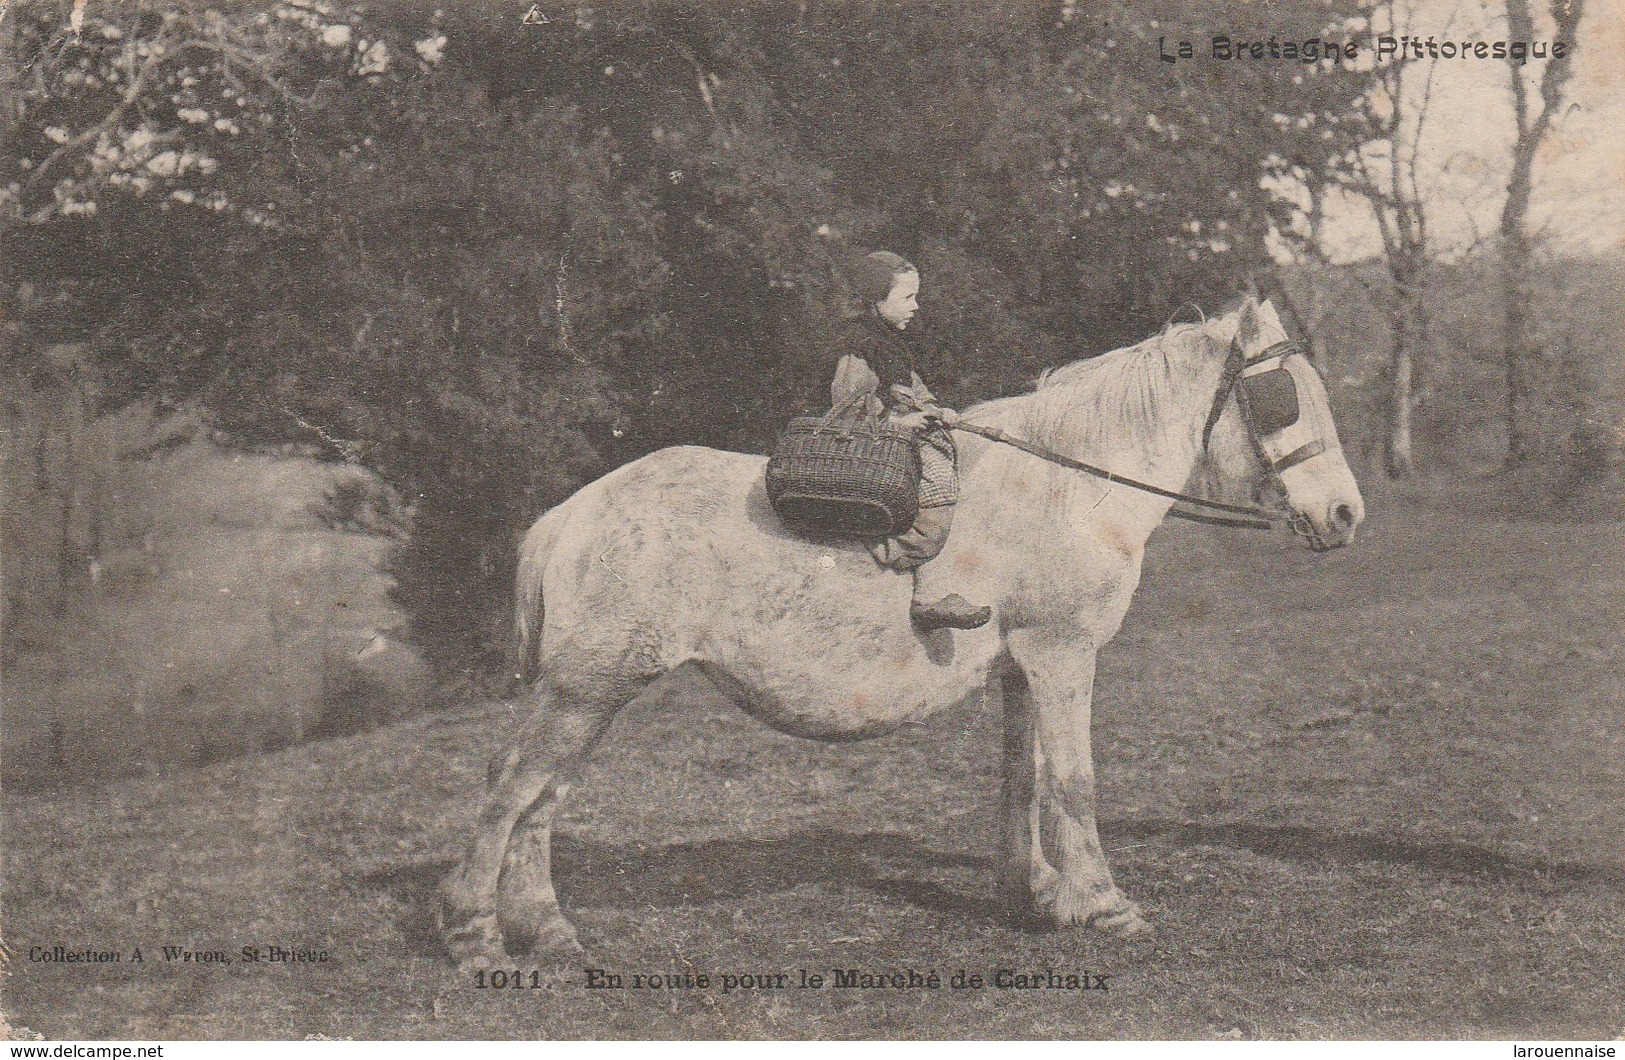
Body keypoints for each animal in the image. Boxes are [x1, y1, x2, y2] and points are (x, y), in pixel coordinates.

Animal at [438, 294, 1365, 962]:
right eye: (1280, 398)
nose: (1345, 514)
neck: (1068, 489)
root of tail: (569, 514)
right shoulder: (1062, 655)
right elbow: (1073, 783)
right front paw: (1103, 903)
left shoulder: (1021, 667)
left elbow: (1022, 782)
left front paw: (1038, 895)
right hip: (587, 688)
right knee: (513, 786)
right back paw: (473, 932)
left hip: (593, 691)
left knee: (543, 795)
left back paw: (546, 932)